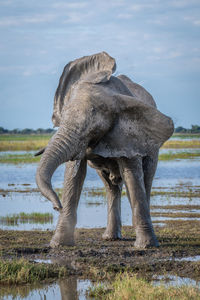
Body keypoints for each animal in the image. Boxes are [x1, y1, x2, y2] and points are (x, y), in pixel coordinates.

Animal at [35, 51, 173, 248]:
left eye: (94, 125)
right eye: (64, 113)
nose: (56, 206)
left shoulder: (130, 134)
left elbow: (132, 175)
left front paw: (146, 246)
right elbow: (74, 175)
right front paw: (58, 245)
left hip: (152, 147)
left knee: (146, 177)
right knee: (110, 185)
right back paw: (111, 237)